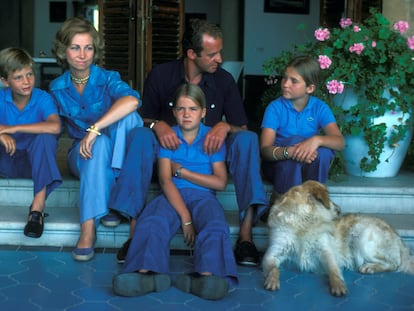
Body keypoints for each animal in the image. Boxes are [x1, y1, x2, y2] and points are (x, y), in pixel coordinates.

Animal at [262, 180, 414, 298]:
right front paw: (272, 280)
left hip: (361, 238)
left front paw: (339, 285)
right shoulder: (272, 253)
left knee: (394, 264)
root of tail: (398, 238)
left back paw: (370, 267)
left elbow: (334, 271)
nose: (340, 209)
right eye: (329, 198)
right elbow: (274, 269)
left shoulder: (326, 252)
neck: (302, 222)